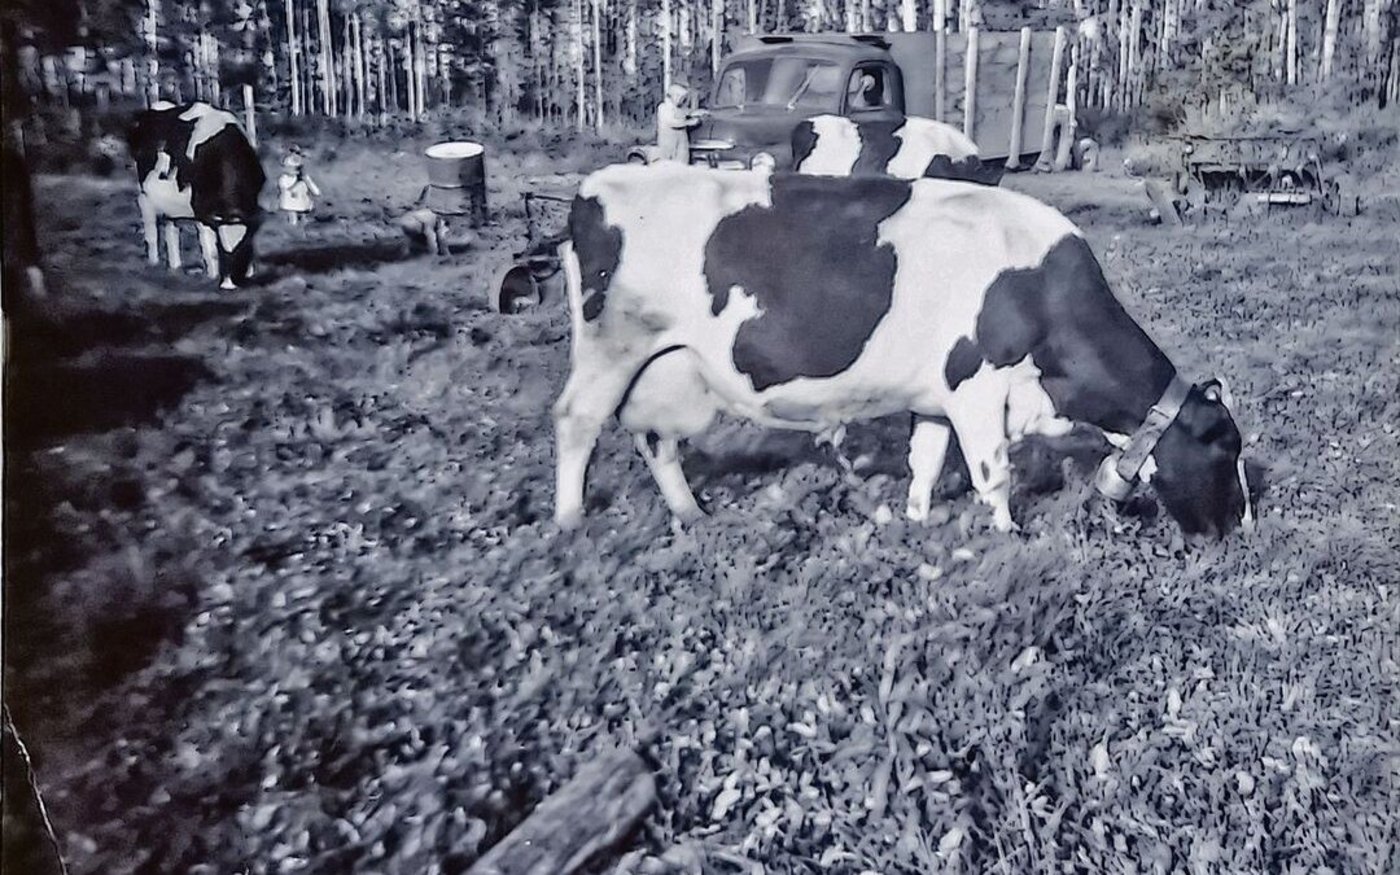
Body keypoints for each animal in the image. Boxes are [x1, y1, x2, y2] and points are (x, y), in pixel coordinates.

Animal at [129, 101, 265, 289]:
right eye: (221, 247)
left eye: (241, 248)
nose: (228, 285)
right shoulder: (202, 210)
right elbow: (209, 248)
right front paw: (213, 275)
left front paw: (249, 273)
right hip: (145, 196)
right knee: (151, 230)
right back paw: (153, 263)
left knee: (171, 228)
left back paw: (175, 266)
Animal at [553, 164, 1253, 539]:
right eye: (1225, 447)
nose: (1239, 528)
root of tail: (598, 186)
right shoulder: (977, 384)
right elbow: (993, 473)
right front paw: (1010, 536)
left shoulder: (936, 394)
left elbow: (925, 460)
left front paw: (916, 520)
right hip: (611, 349)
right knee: (577, 422)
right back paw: (570, 520)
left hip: (662, 366)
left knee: (655, 440)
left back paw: (690, 513)